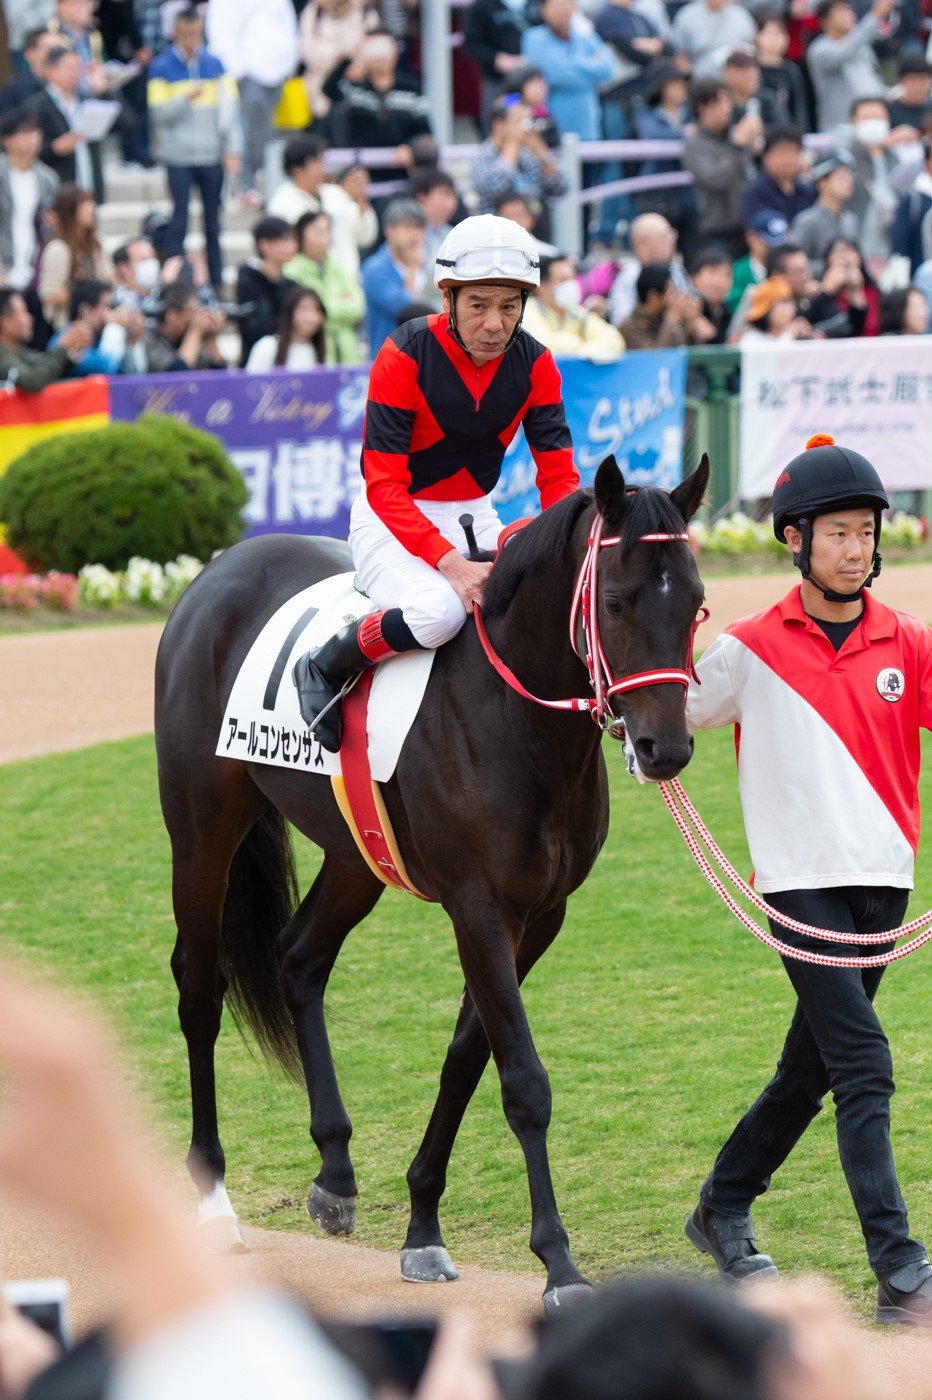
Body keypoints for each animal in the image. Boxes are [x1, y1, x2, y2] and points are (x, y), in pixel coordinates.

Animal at [153, 450, 705, 1310]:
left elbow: (468, 1056)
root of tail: (219, 569)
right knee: (200, 988)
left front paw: (421, 1227)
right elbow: (522, 1079)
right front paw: (559, 1263)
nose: (665, 747)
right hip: (203, 827)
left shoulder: (539, 914)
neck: (514, 718)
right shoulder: (478, 907)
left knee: (298, 957)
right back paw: (214, 1199)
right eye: (615, 601)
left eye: (699, 605)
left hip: (357, 850)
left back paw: (335, 1172)